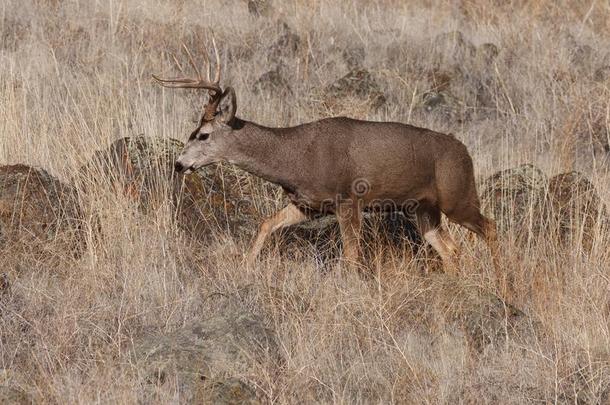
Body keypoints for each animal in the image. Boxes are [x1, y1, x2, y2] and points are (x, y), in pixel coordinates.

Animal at [153, 41, 498, 272]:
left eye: (203, 135)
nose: (179, 164)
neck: (295, 157)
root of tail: (465, 151)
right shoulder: (307, 203)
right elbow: (266, 223)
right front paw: (245, 267)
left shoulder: (348, 199)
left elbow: (351, 256)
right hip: (424, 209)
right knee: (451, 249)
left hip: (458, 196)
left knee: (490, 227)